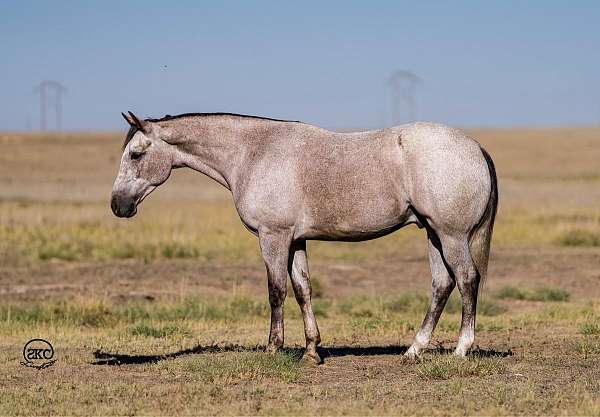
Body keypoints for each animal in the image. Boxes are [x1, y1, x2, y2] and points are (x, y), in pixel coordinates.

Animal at [111, 112, 496, 362]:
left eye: (136, 154)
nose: (117, 205)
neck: (253, 153)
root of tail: (475, 146)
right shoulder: (295, 241)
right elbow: (302, 290)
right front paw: (312, 350)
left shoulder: (273, 237)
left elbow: (276, 291)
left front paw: (273, 347)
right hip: (432, 234)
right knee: (442, 285)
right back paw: (414, 350)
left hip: (450, 236)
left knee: (466, 279)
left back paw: (461, 348)